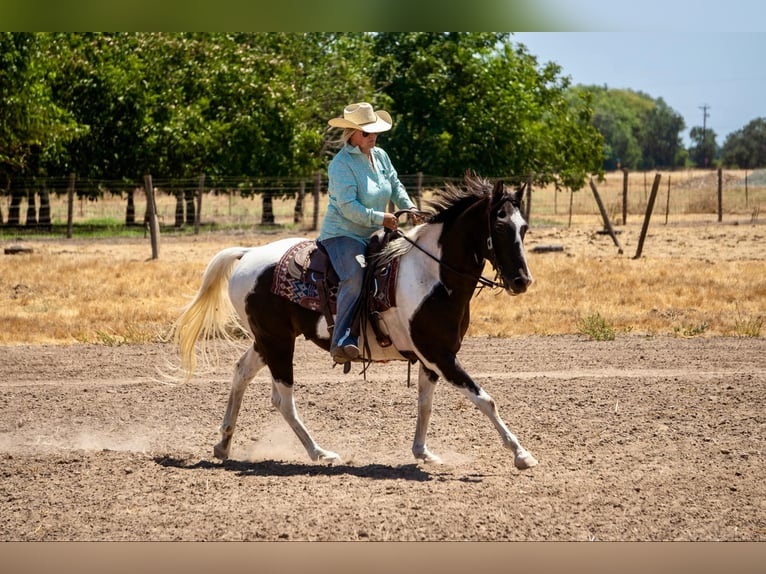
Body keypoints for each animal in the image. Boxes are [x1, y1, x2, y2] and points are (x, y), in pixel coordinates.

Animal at [173, 174, 538, 471]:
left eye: (524, 228)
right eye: (500, 227)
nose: (522, 281)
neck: (431, 275)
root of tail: (248, 254)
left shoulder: (431, 358)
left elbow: (425, 404)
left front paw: (422, 452)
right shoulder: (440, 355)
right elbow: (484, 399)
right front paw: (521, 454)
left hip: (265, 340)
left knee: (241, 374)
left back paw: (224, 443)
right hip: (277, 343)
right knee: (282, 399)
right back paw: (320, 453)